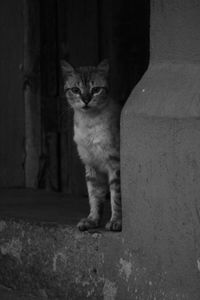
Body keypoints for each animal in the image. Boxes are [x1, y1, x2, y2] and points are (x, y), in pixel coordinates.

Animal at [61, 59, 121, 232]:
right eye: (75, 90)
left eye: (96, 90)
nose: (86, 100)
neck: (88, 124)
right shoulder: (91, 166)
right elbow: (94, 197)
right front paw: (92, 221)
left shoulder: (115, 164)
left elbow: (116, 197)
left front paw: (116, 222)